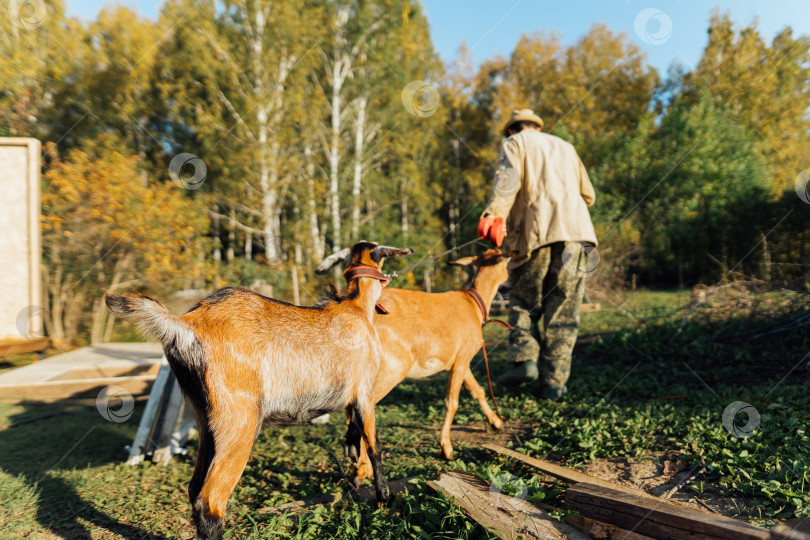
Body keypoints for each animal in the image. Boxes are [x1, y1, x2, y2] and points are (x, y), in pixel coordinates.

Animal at [107, 242, 410, 540]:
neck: (356, 308)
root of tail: (187, 323)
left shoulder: (353, 396)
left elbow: (355, 432)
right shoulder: (365, 391)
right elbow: (375, 447)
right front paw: (383, 499)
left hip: (206, 419)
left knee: (194, 488)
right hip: (240, 420)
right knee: (211, 501)